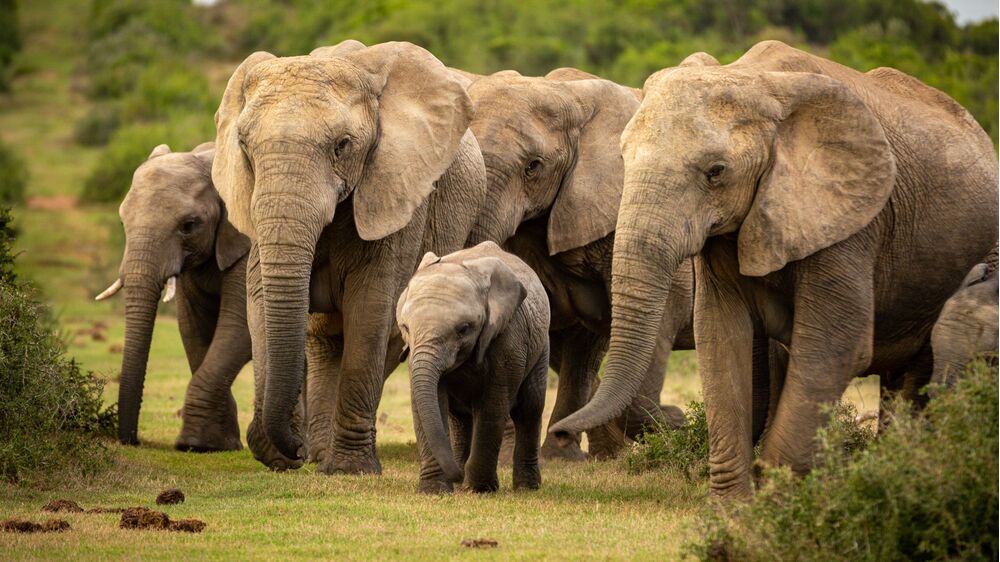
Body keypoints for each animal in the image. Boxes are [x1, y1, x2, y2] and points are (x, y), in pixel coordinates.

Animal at [96, 142, 251, 451]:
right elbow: (193, 329)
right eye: (122, 221)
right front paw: (217, 445)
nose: (132, 440)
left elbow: (240, 327)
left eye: (189, 225)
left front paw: (196, 443)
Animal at [213, 41, 486, 473]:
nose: (296, 448)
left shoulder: (395, 191)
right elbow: (259, 299)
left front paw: (351, 468)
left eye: (342, 145)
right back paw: (320, 455)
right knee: (323, 340)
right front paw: (281, 456)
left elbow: (370, 308)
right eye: (243, 145)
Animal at [396, 241, 549, 493]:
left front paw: (479, 489)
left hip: (541, 346)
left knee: (530, 408)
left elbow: (493, 406)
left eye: (463, 329)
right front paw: (433, 491)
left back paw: (526, 488)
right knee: (459, 418)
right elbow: (427, 405)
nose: (458, 476)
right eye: (405, 327)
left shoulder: (508, 338)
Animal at [550, 40, 998, 500]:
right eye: (624, 158)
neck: (755, 79)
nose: (562, 433)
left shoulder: (847, 223)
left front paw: (772, 505)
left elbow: (834, 346)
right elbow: (722, 336)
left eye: (716, 172)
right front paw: (732, 509)